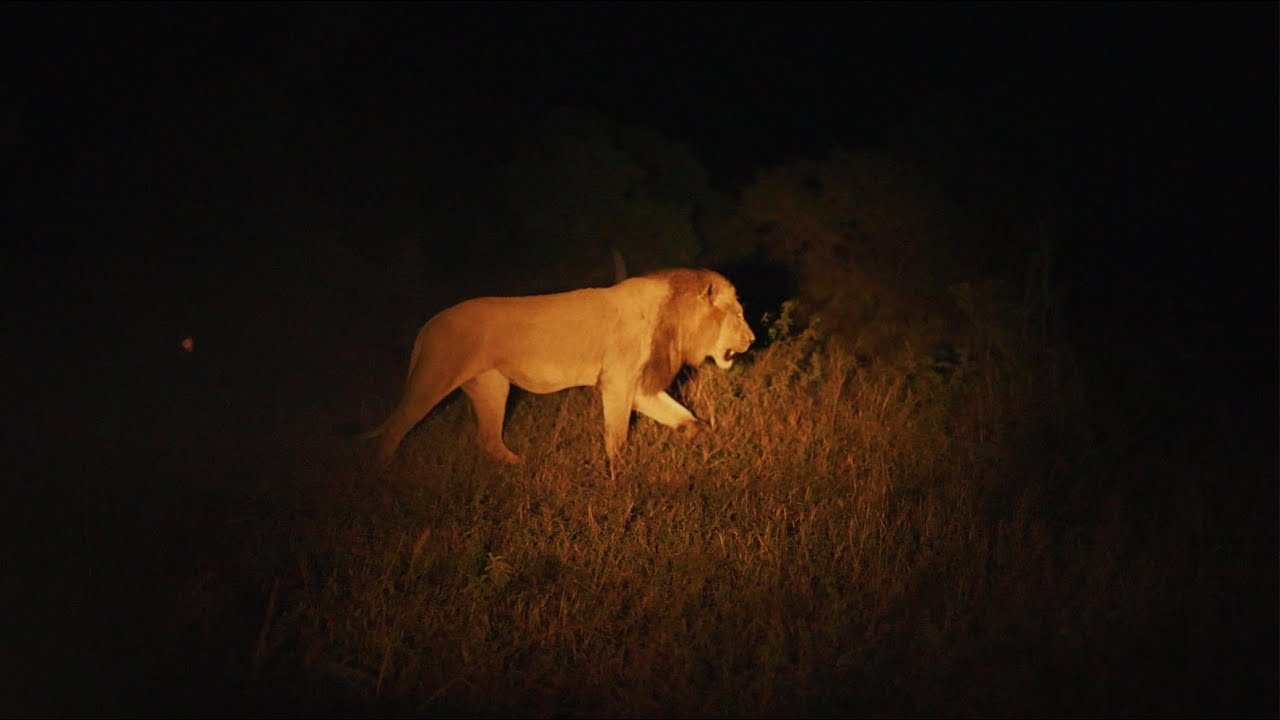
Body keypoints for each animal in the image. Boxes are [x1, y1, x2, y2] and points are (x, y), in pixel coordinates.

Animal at [356, 268, 755, 468]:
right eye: (738, 314)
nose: (751, 339)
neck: (675, 316)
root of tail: (429, 324)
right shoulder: (618, 382)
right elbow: (617, 435)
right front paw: (620, 474)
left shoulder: (638, 387)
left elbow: (682, 415)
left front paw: (706, 441)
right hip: (433, 379)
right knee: (396, 427)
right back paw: (384, 473)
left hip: (492, 387)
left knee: (488, 438)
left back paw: (520, 468)